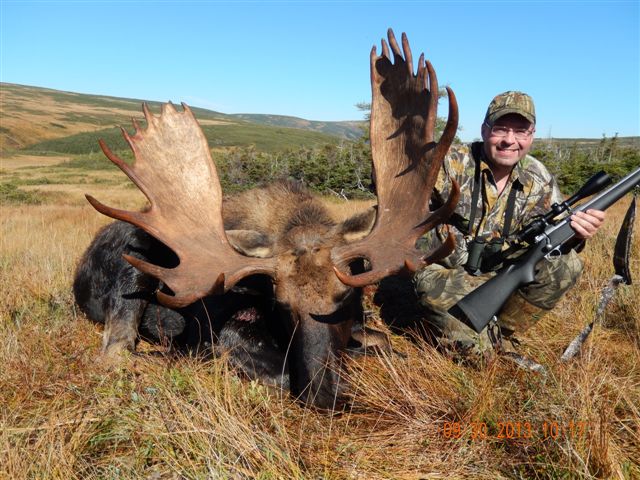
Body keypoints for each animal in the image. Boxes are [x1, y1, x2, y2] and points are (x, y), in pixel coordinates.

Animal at [73, 29, 459, 409]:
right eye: (282, 306)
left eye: (346, 296)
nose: (323, 394)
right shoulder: (225, 329)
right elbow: (283, 374)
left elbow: (388, 343)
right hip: (132, 273)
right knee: (116, 351)